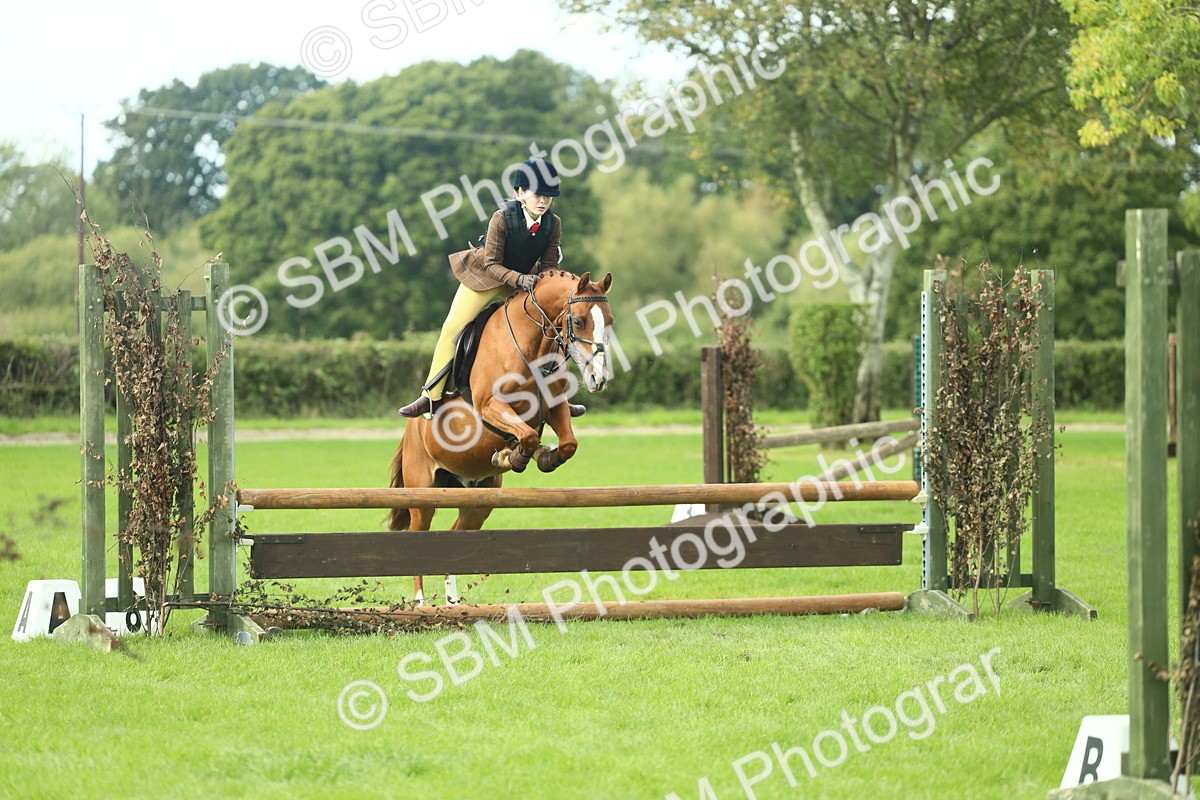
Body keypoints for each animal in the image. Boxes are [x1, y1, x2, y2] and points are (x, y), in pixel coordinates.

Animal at [387, 270, 614, 601]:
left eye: (609, 321)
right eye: (579, 320)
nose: (599, 378)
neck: (532, 345)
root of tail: (410, 430)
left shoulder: (554, 405)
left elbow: (567, 444)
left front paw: (539, 457)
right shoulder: (490, 406)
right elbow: (527, 435)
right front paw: (514, 456)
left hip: (478, 500)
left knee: (453, 536)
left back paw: (452, 602)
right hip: (423, 491)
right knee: (418, 536)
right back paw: (419, 603)